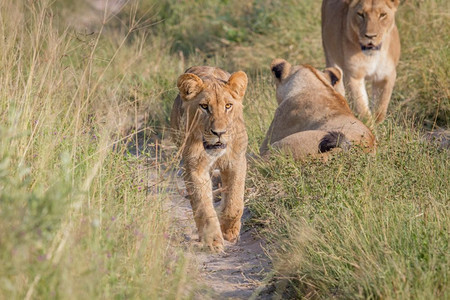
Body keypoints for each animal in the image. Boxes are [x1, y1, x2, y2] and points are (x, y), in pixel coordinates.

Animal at [170, 66, 248, 253]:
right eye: (204, 107)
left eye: (228, 106)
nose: (219, 133)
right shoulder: (194, 167)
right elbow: (203, 205)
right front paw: (212, 241)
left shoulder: (237, 162)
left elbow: (235, 202)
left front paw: (229, 231)